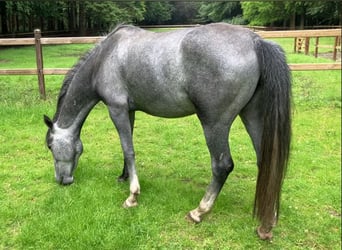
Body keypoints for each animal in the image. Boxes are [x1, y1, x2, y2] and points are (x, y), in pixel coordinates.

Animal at [43, 23, 292, 240]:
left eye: (50, 145)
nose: (61, 180)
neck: (105, 58)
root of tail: (255, 41)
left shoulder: (117, 109)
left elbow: (128, 149)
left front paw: (132, 196)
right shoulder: (129, 111)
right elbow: (126, 148)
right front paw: (124, 177)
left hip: (214, 124)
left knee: (222, 165)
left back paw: (199, 211)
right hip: (252, 116)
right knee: (267, 162)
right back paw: (268, 222)